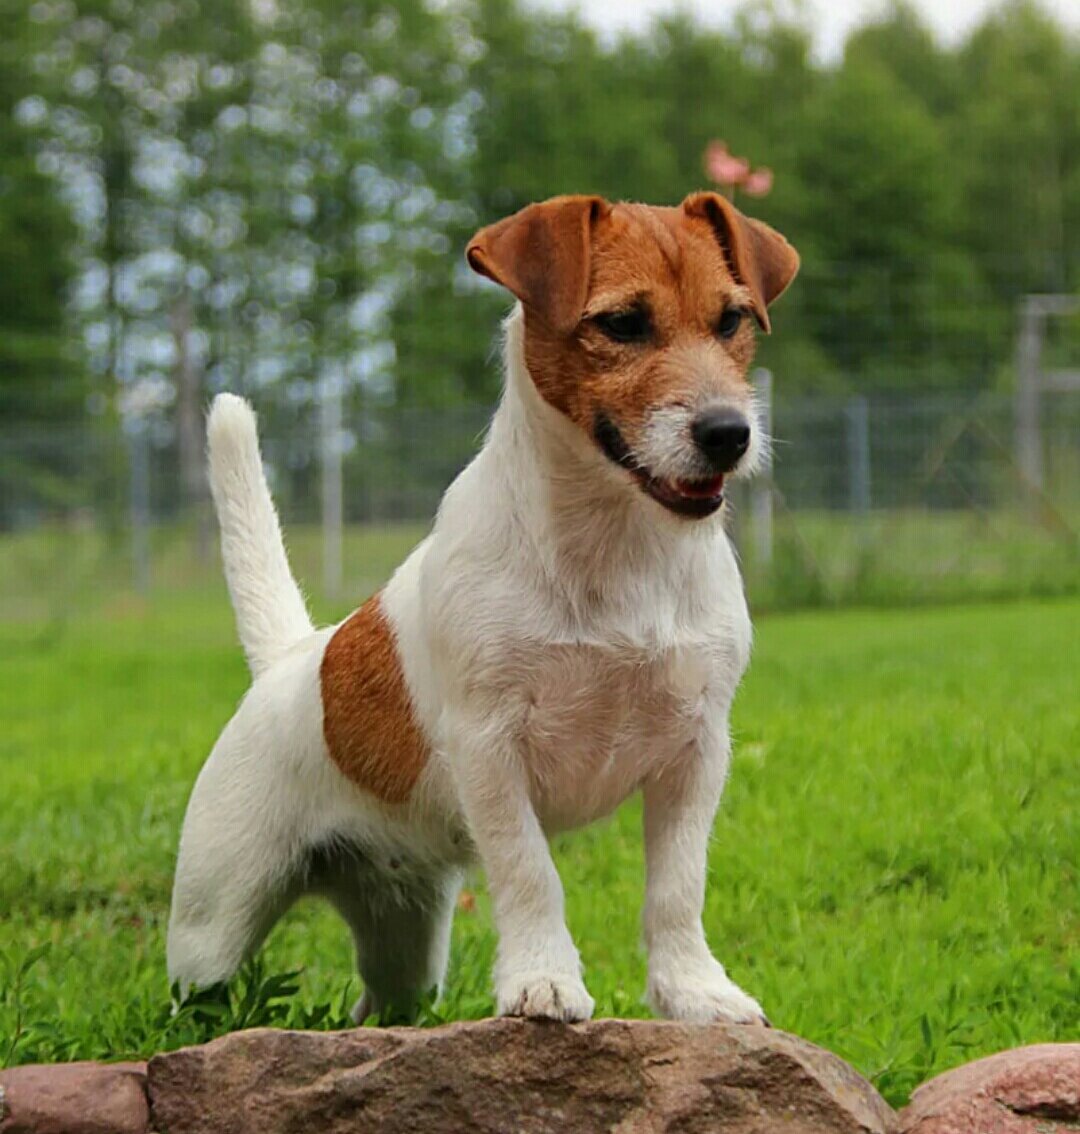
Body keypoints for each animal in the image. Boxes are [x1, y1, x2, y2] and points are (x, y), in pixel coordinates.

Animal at [164, 192, 798, 1029]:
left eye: (732, 321)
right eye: (623, 323)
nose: (729, 434)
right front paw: (543, 980)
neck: (615, 547)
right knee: (198, 990)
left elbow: (677, 885)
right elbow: (531, 871)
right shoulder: (490, 747)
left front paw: (695, 992)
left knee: (384, 1004)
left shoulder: (696, 752)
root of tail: (292, 657)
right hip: (213, 923)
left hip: (404, 943)